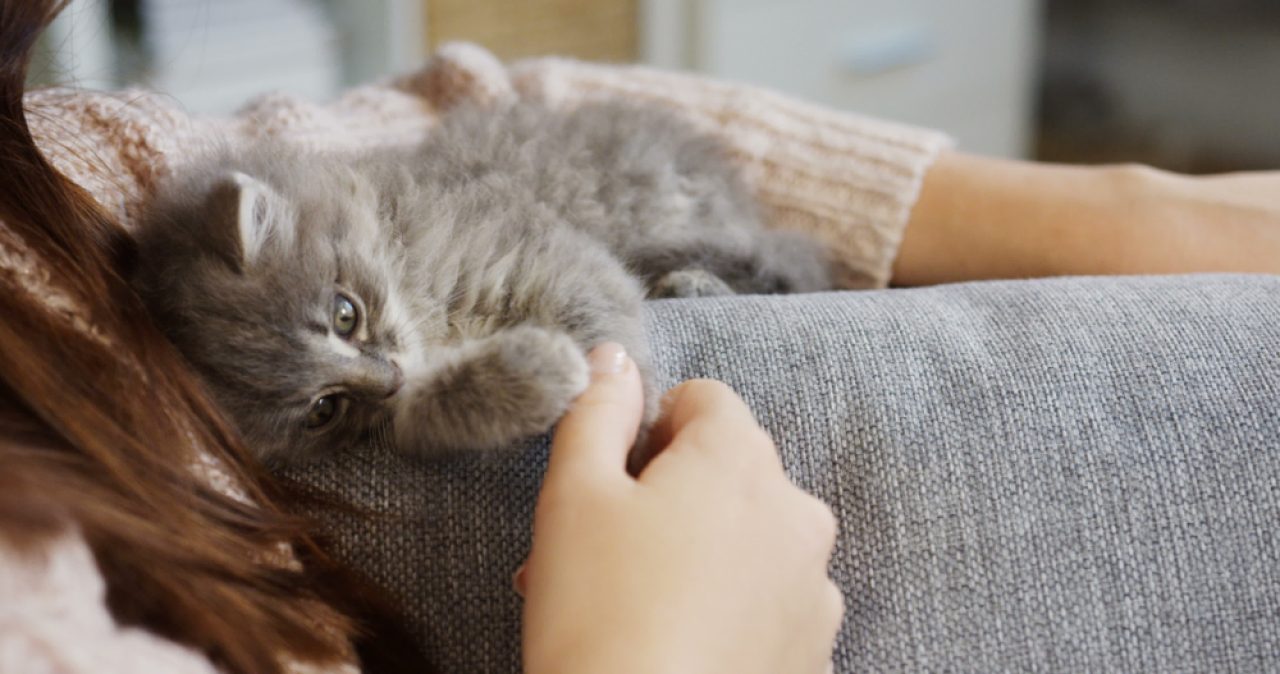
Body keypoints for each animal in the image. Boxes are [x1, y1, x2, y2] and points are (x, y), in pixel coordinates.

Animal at [129, 100, 829, 468]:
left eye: (345, 314)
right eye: (324, 410)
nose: (390, 378)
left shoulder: (556, 258)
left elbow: (611, 338)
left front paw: (635, 442)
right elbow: (418, 417)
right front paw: (533, 372)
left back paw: (692, 283)